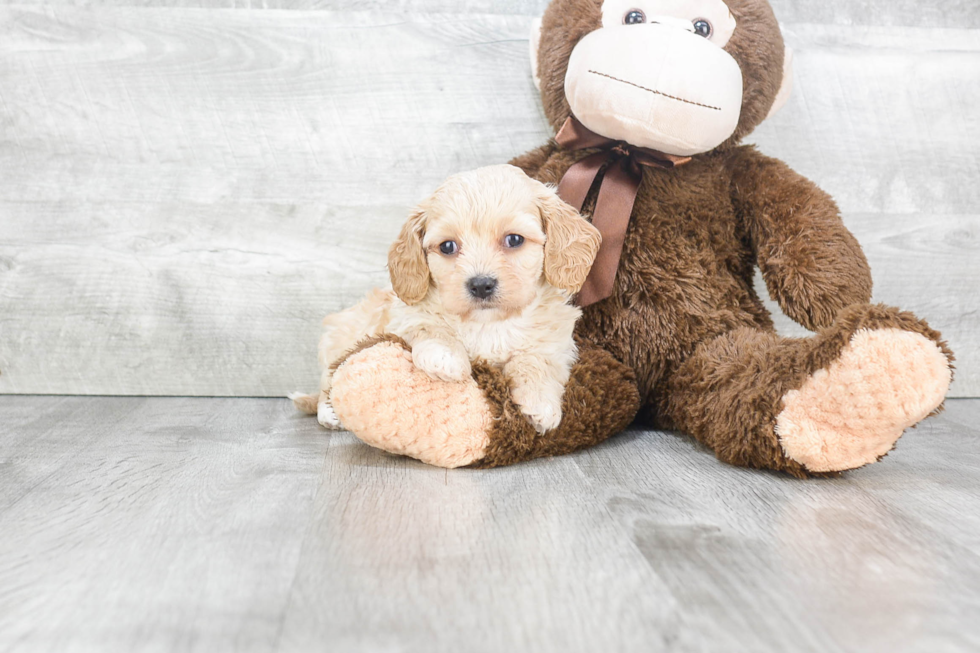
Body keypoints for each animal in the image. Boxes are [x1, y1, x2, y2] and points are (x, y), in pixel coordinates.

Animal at [288, 164, 600, 432]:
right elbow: (432, 328)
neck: (489, 324)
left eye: (514, 240)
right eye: (448, 246)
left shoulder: (555, 341)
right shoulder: (407, 316)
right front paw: (446, 358)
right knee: (328, 382)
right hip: (340, 340)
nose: (481, 285)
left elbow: (537, 360)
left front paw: (540, 404)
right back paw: (329, 412)